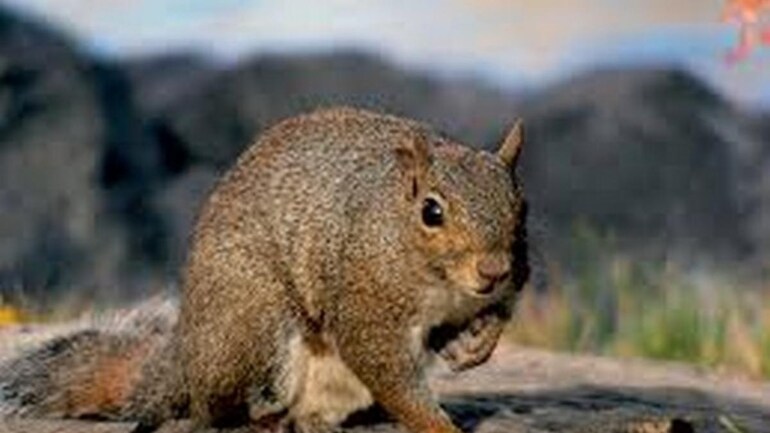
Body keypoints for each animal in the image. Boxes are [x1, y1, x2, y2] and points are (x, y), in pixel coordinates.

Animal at [0, 107, 529, 433]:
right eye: (431, 212)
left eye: (520, 205)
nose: (494, 270)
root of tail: (188, 360)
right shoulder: (365, 299)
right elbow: (387, 369)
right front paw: (437, 423)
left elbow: (493, 319)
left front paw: (476, 346)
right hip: (257, 326)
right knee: (216, 412)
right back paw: (264, 420)